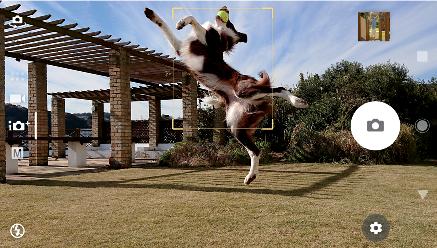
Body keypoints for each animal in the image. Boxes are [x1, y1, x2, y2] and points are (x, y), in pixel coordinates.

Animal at [145, 6, 308, 184]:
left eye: (230, 22)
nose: (225, 7)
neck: (221, 36)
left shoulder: (206, 40)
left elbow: (193, 19)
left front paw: (182, 22)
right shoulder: (180, 47)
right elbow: (164, 26)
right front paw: (151, 14)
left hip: (244, 91)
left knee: (279, 89)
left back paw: (297, 101)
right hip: (237, 126)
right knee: (255, 151)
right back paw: (251, 176)